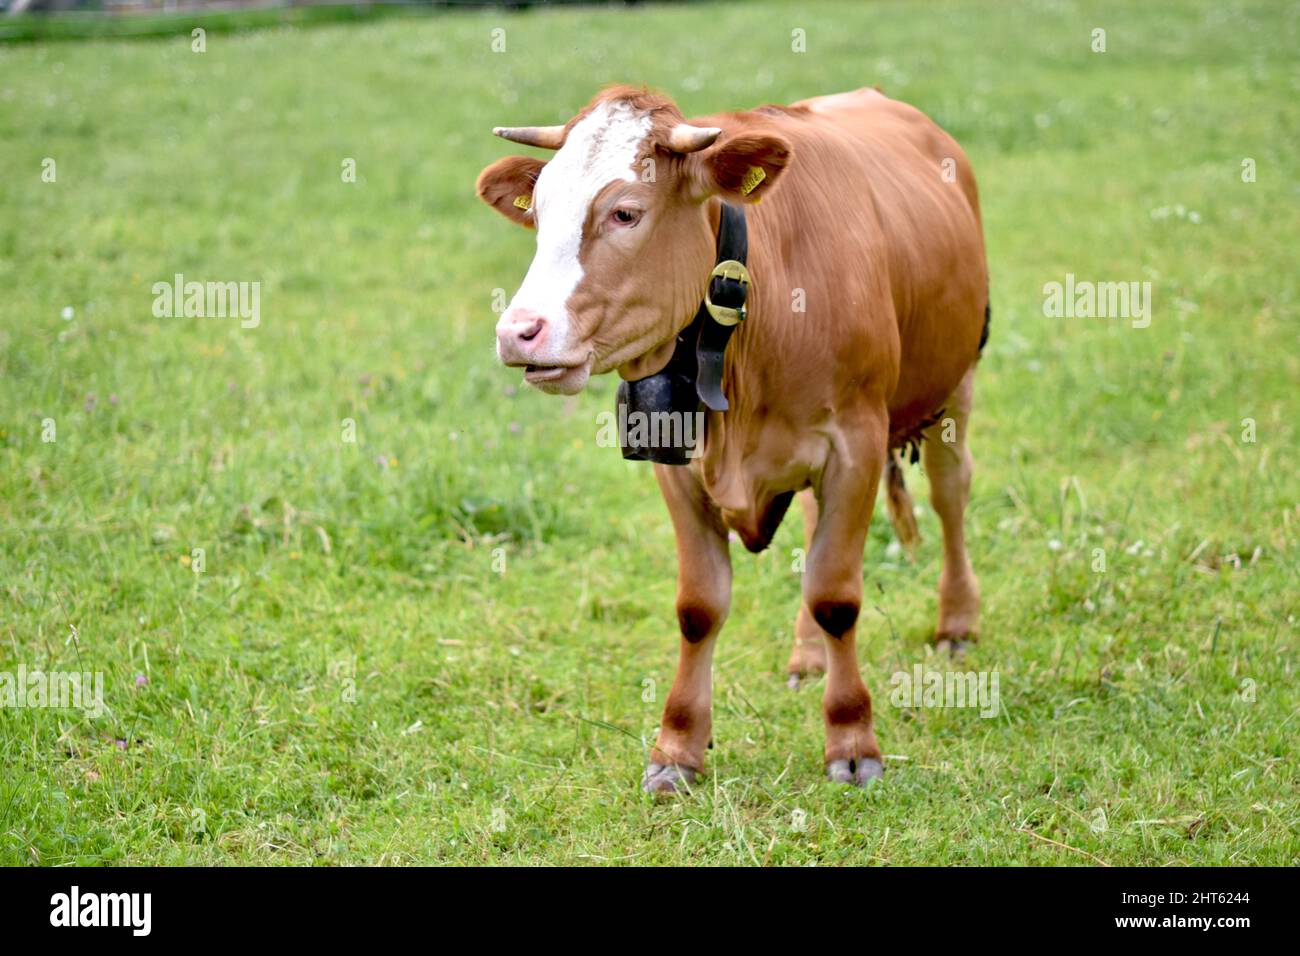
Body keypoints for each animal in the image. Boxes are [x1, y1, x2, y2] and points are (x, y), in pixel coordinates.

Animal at [476, 85, 988, 792]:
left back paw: (957, 622)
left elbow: (836, 596)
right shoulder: (675, 460)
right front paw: (677, 749)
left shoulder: (855, 443)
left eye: (626, 213)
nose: (518, 332)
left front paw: (852, 739)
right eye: (542, 209)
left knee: (950, 495)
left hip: (954, 387)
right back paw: (806, 656)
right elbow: (700, 607)